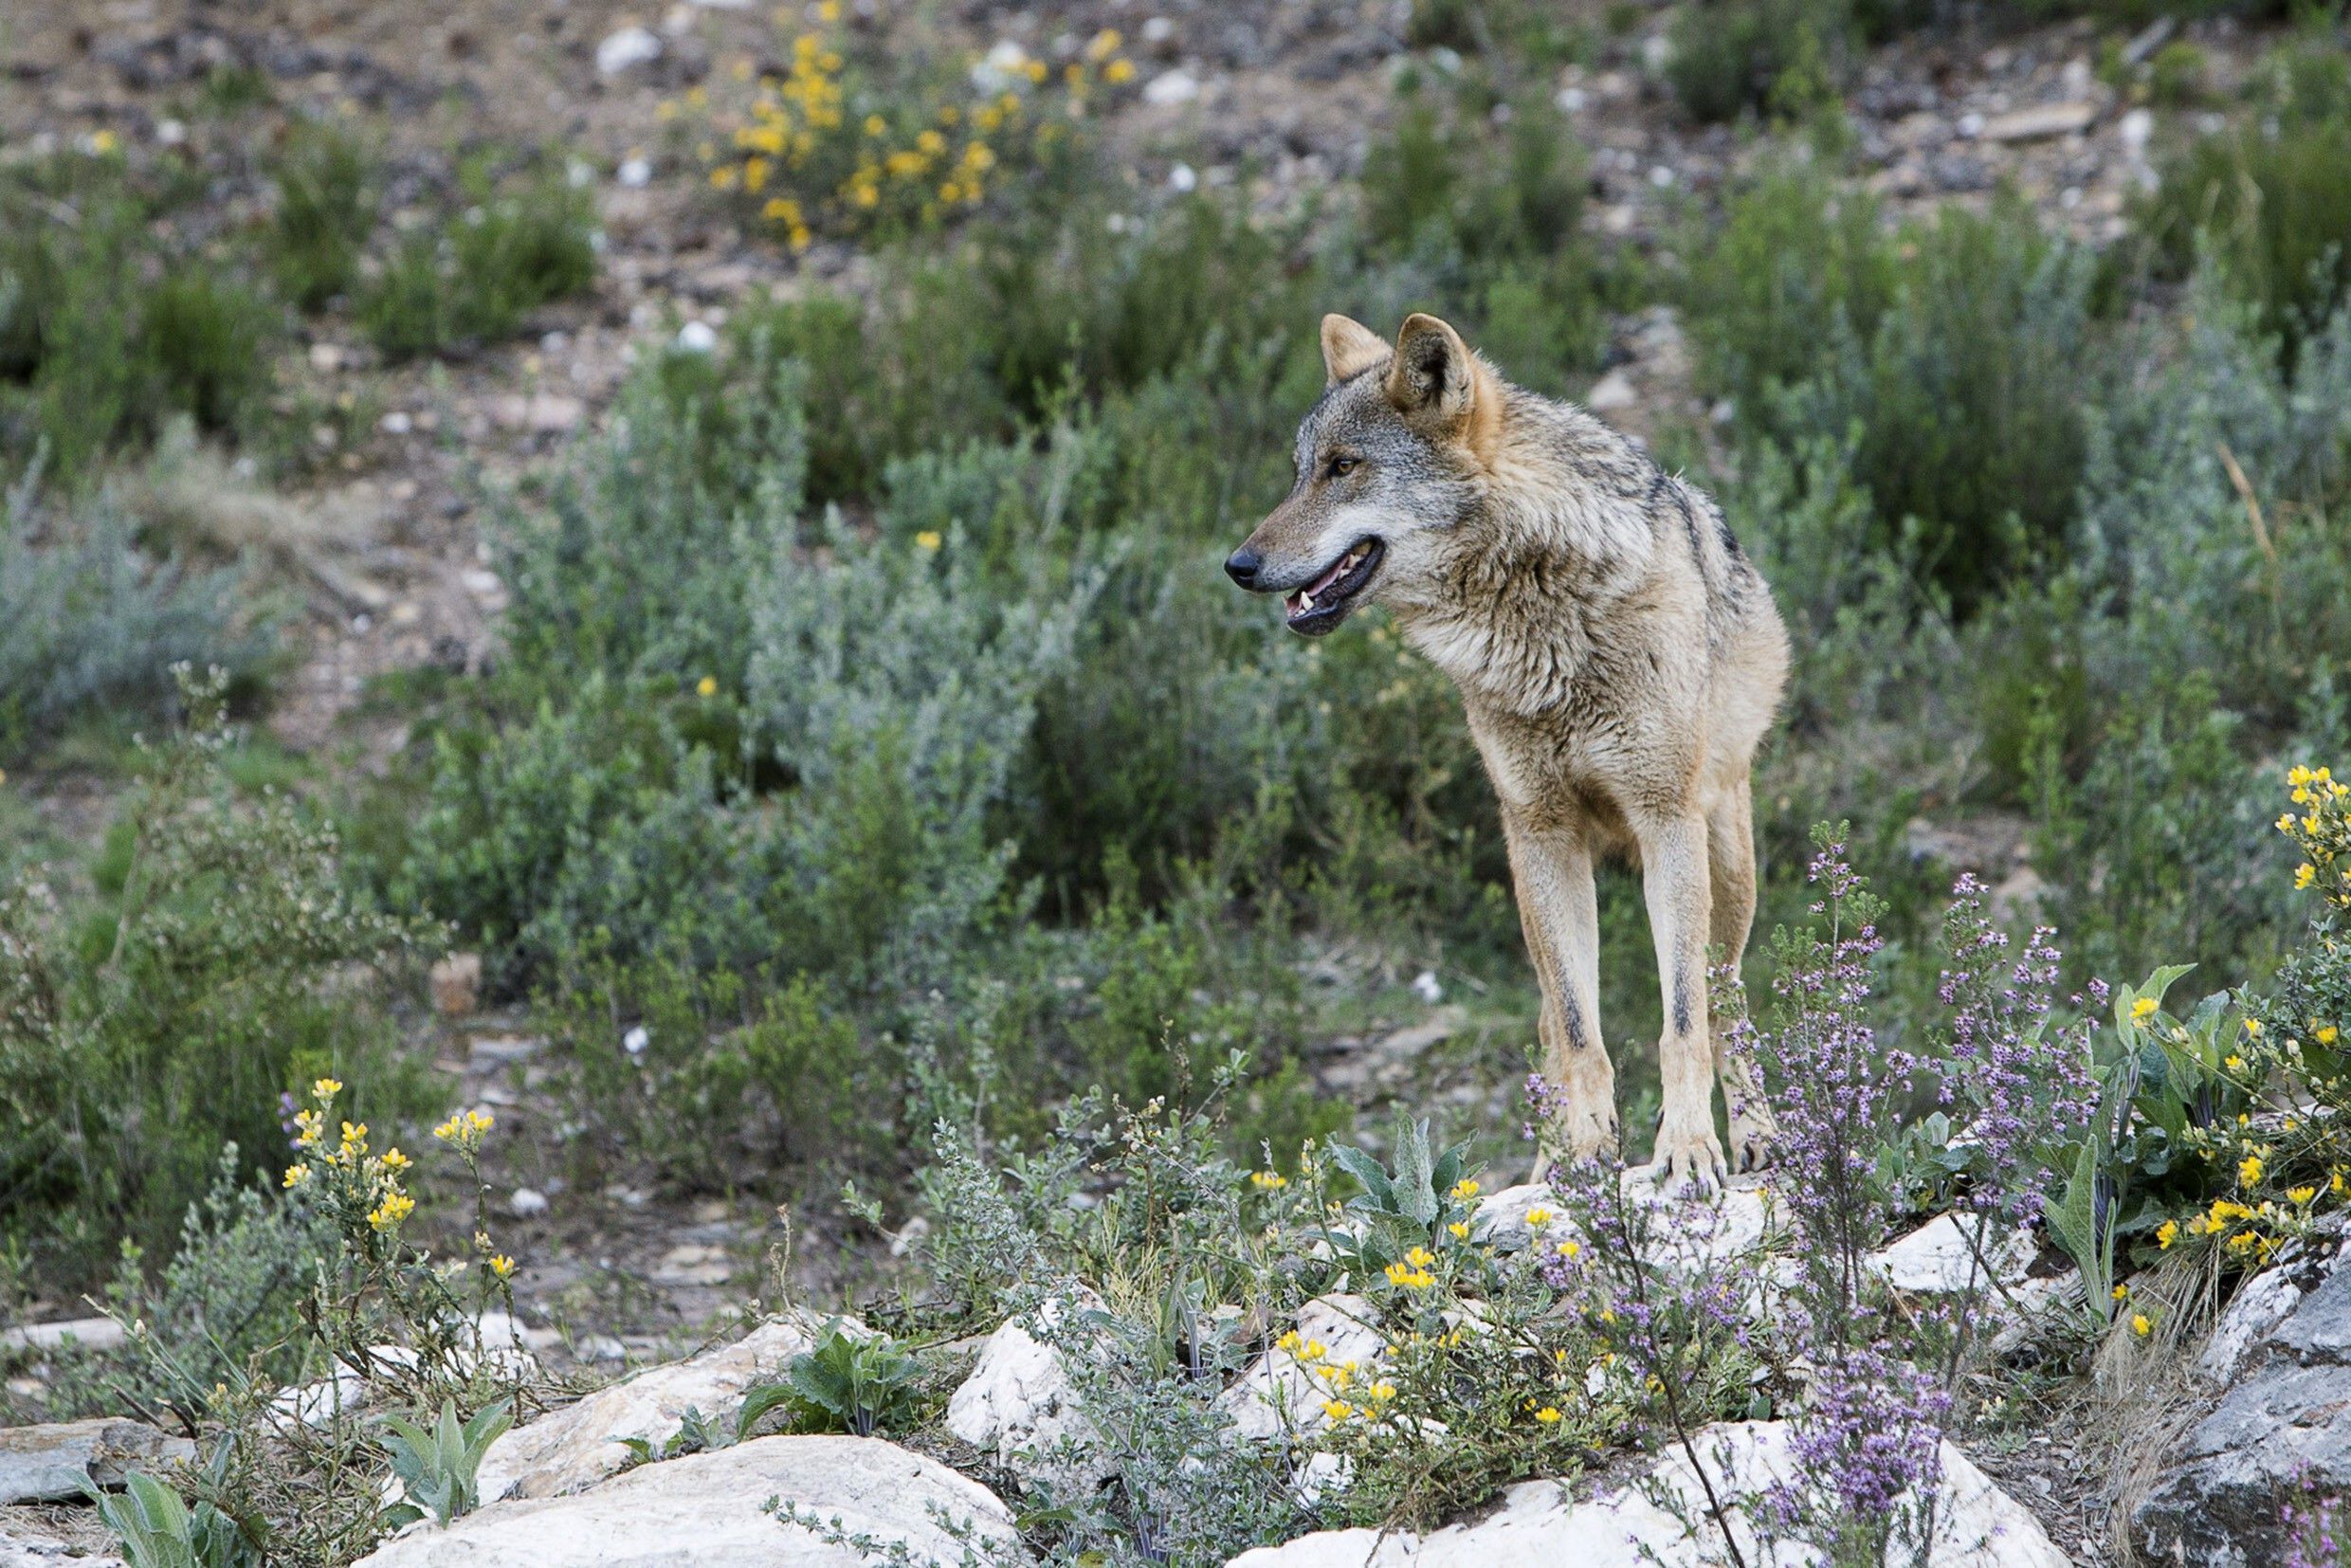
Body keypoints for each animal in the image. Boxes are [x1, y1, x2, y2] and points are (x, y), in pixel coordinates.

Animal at [1222, 312, 1786, 1184]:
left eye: (1344, 467)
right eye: (1298, 473)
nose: (1239, 566)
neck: (1544, 617)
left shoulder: (1664, 820)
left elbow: (1682, 1022)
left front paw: (1689, 1148)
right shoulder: (1541, 830)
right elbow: (1580, 1032)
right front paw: (1583, 1154)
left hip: (1725, 864)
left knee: (1727, 1002)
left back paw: (1756, 1134)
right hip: (1531, 880)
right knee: (1555, 1022)